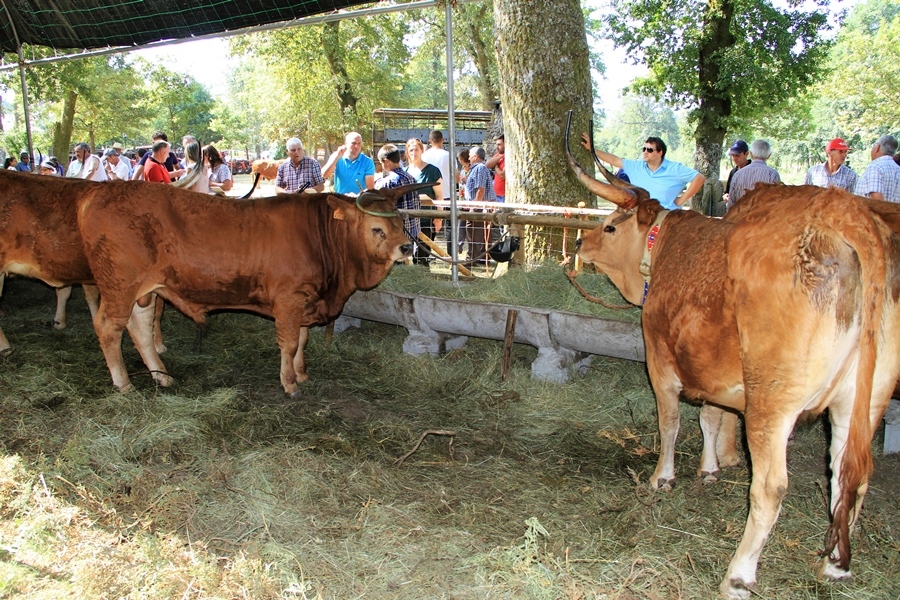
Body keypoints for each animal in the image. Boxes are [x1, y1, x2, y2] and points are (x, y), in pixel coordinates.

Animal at [75, 182, 428, 398]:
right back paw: (123, 383)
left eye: (400, 221)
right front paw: (289, 384)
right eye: (377, 228)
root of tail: (95, 194)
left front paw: (301, 373)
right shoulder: (288, 299)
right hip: (119, 286)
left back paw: (162, 376)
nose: (405, 247)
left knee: (140, 330)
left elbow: (301, 341)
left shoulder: (304, 301)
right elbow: (288, 343)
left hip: (144, 292)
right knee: (107, 327)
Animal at [568, 115, 896, 596]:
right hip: (862, 400)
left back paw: (738, 576)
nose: (579, 247)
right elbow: (710, 417)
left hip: (771, 402)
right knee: (849, 475)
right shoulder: (718, 374)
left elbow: (671, 422)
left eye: (609, 226)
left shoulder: (660, 360)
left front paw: (662, 477)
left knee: (772, 487)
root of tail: (850, 221)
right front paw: (709, 469)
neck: (664, 248)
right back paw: (834, 564)